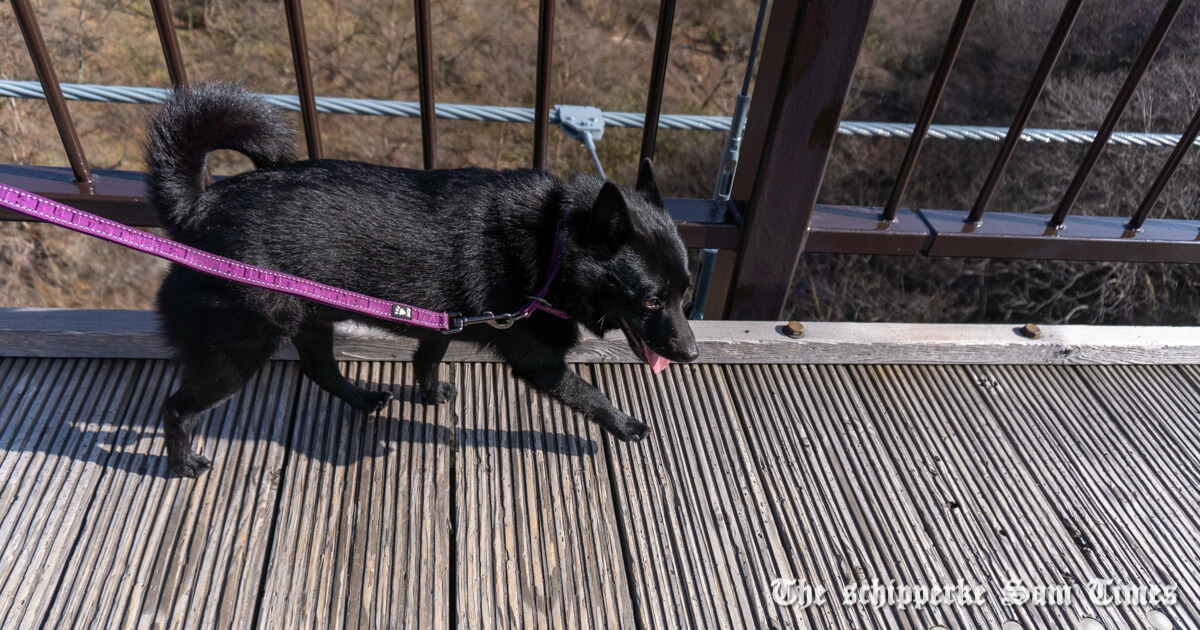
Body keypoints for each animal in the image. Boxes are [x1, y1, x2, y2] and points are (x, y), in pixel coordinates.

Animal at [145, 84, 700, 477]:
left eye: (686, 293)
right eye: (651, 301)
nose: (691, 354)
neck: (554, 245)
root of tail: (197, 211)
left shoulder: (443, 320)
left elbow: (427, 360)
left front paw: (430, 396)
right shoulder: (538, 361)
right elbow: (588, 394)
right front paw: (624, 424)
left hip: (310, 319)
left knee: (321, 371)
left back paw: (365, 400)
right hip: (238, 351)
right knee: (176, 407)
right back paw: (182, 463)